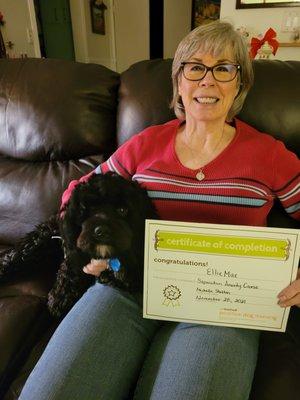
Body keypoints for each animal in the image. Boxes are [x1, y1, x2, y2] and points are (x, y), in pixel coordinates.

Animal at [0, 173, 158, 318]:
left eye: (122, 210)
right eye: (86, 209)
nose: (101, 231)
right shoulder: (71, 246)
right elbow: (71, 265)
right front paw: (61, 295)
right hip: (41, 239)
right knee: (17, 255)